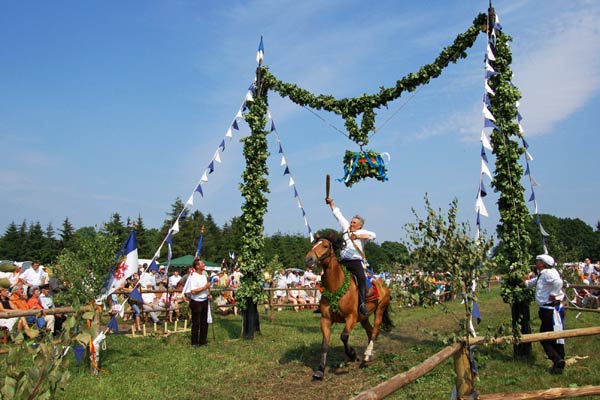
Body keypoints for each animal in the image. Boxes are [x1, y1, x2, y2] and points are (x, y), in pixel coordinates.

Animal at [304, 233, 394, 380]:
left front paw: (352, 354)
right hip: (364, 317)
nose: (308, 259)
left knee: (375, 331)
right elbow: (324, 344)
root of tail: (382, 282)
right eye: (313, 245)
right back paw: (368, 356)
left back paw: (366, 355)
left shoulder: (350, 317)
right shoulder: (325, 319)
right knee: (370, 331)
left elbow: (344, 336)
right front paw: (320, 370)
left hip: (379, 310)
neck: (337, 287)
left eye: (325, 246)